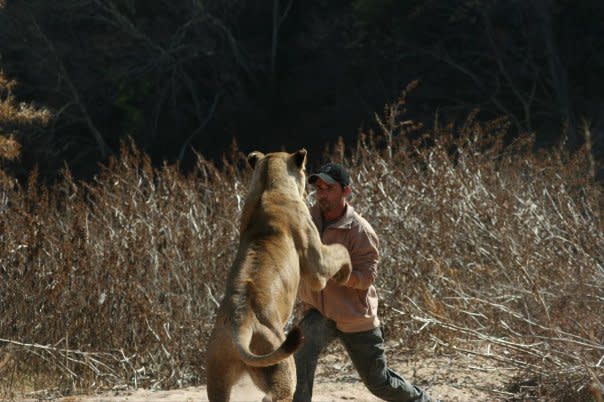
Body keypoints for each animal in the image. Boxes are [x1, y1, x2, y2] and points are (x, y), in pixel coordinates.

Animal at [205, 150, 352, 402]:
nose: (310, 191)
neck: (268, 185)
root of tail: (239, 324)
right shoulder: (317, 266)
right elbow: (341, 250)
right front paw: (346, 274)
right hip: (282, 363)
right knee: (273, 395)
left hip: (218, 376)